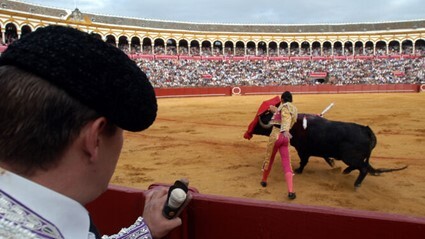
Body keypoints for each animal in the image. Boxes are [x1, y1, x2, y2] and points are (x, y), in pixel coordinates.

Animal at [253, 111, 406, 188]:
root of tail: (366, 130)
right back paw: (345, 171)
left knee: (363, 168)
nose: (251, 128)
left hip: (350, 157)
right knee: (364, 166)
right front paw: (332, 163)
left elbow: (304, 161)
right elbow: (325, 157)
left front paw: (298, 170)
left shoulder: (303, 150)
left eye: (263, 121)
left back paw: (356, 184)